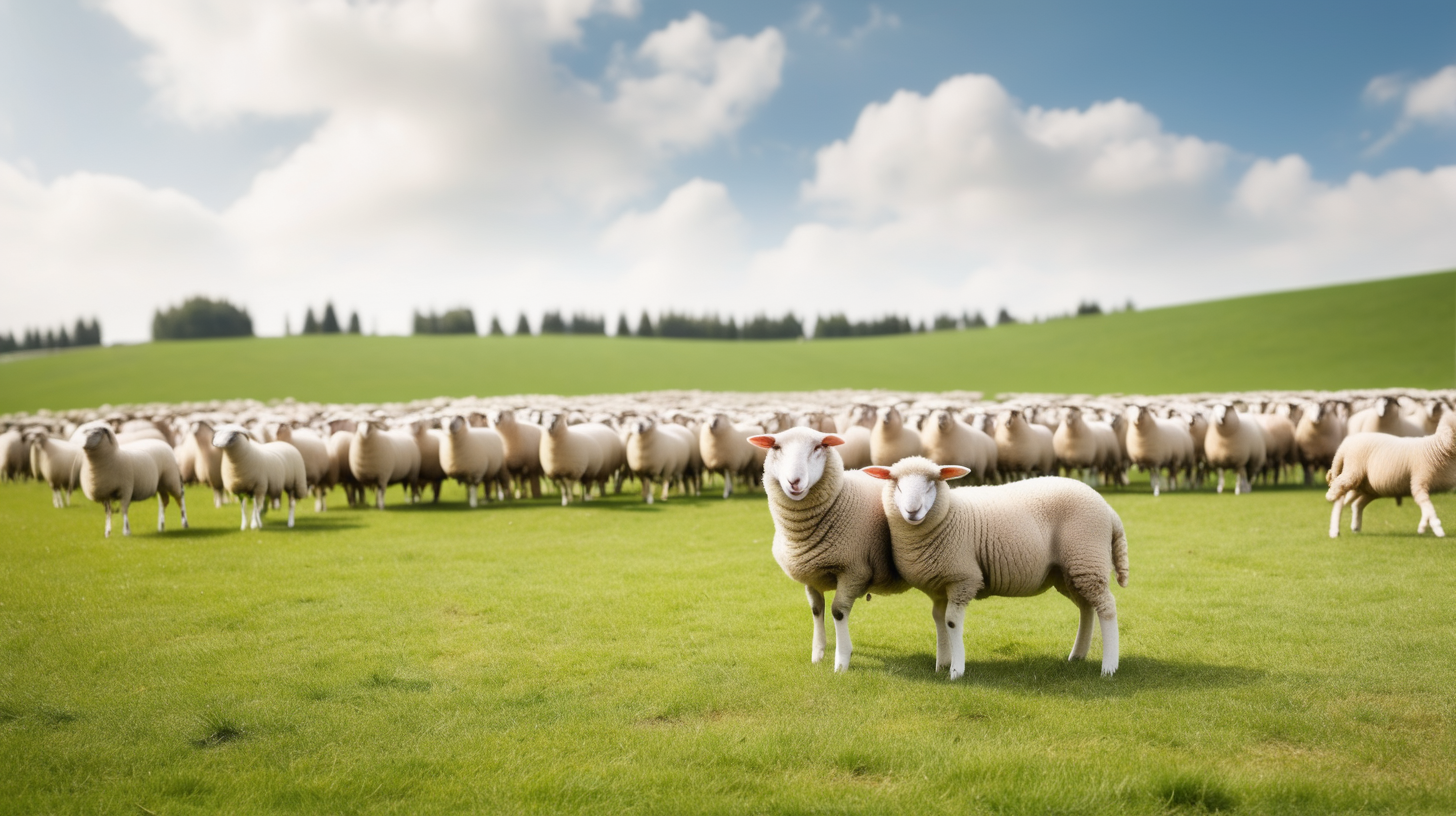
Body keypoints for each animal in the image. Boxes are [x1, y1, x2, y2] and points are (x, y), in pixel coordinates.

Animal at [745, 428, 902, 670]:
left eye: (818, 447)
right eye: (776, 447)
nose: (794, 481)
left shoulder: (854, 571)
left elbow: (838, 612)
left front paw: (842, 661)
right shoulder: (810, 574)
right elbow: (817, 609)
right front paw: (817, 653)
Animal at [861, 460, 1124, 676]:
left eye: (931, 485)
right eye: (898, 486)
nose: (912, 511)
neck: (949, 515)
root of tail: (1108, 509)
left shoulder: (963, 579)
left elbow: (951, 622)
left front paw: (956, 670)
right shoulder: (939, 586)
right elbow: (938, 620)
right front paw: (941, 664)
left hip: (1087, 557)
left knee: (1107, 608)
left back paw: (1109, 667)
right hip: (1070, 571)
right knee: (1087, 608)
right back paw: (1077, 655)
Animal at [1333, 413, 1456, 542]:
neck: (1437, 448)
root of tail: (1346, 443)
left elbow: (1426, 508)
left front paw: (1423, 527)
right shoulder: (1420, 480)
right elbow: (1427, 505)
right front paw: (1438, 530)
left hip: (1369, 487)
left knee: (1356, 504)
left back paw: (1355, 526)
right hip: (1352, 473)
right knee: (1339, 498)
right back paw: (1334, 530)